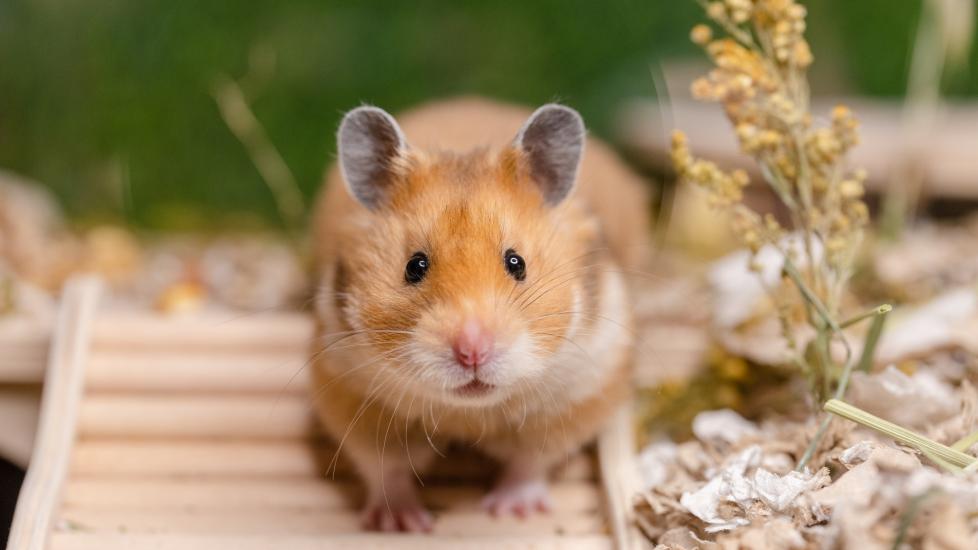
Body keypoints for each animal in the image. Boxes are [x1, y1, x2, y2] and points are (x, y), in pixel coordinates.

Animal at [311, 97, 652, 532]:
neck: (468, 413)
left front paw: (510, 510)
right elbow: (386, 467)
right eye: (414, 266)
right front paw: (402, 523)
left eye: (516, 263)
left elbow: (531, 461)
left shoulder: (581, 388)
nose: (472, 351)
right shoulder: (348, 392)